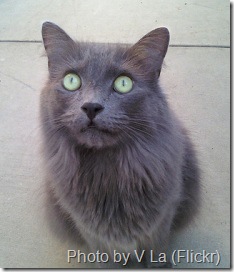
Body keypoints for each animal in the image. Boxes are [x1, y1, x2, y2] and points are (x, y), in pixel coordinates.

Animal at [40, 21, 201, 268]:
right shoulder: (93, 234)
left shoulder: (161, 222)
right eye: (71, 80)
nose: (91, 106)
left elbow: (157, 253)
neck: (106, 171)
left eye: (123, 83)